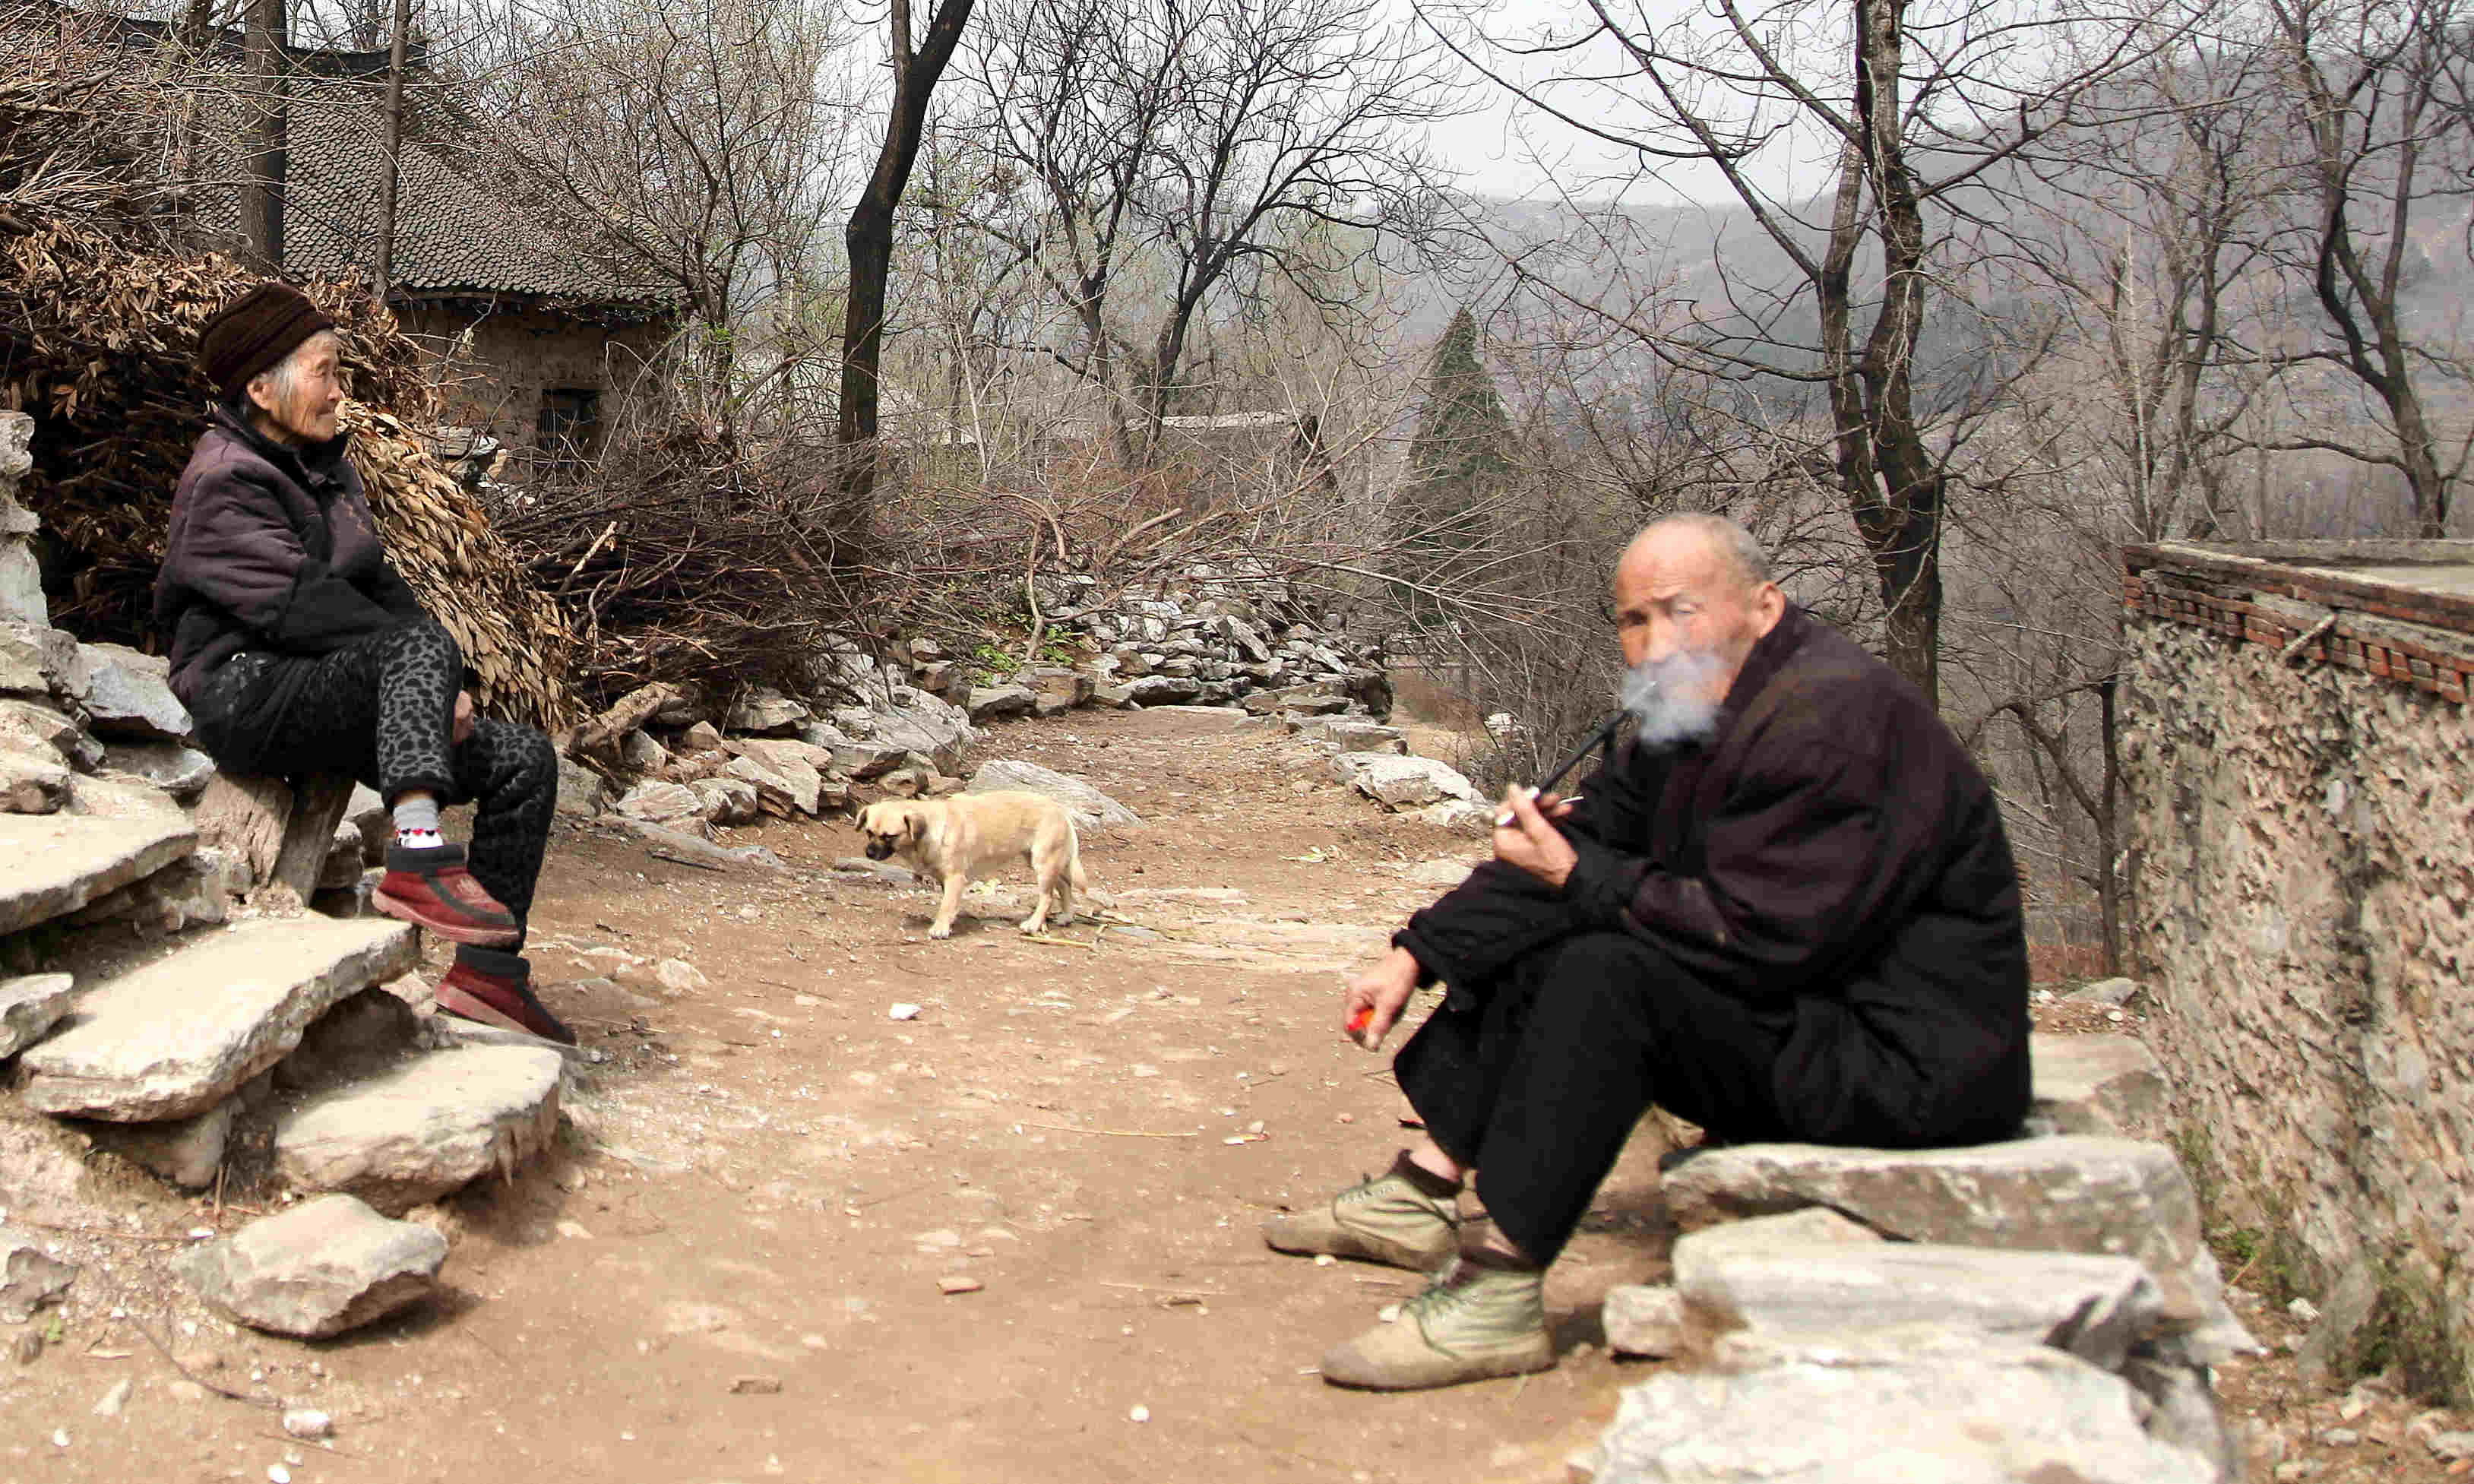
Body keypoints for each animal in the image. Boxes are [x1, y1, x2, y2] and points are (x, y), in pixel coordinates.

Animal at [861, 786, 1084, 939]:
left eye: (889, 836)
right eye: (869, 832)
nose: (868, 853)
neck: (931, 830)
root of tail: (1060, 809)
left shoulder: (955, 878)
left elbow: (946, 905)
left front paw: (940, 928)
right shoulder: (946, 881)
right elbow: (950, 905)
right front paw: (950, 922)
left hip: (1043, 864)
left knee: (1047, 897)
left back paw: (1034, 924)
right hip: (1041, 862)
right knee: (1065, 886)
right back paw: (1066, 916)